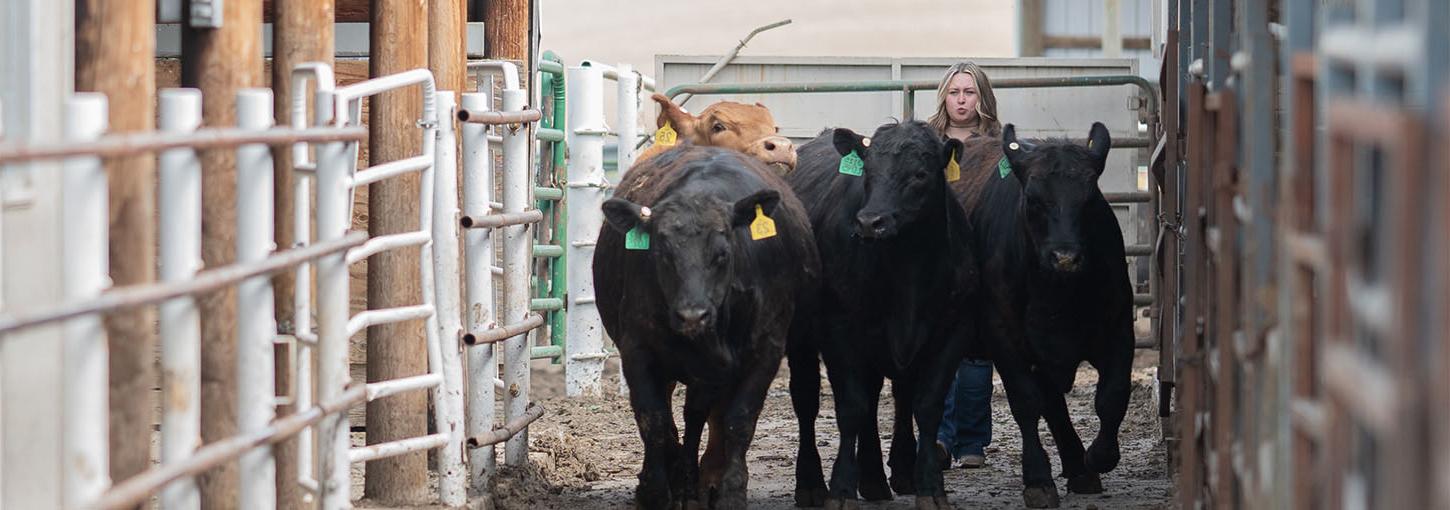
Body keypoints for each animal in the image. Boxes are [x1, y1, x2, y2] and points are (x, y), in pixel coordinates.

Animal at [588, 143, 817, 510]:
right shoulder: (637, 349)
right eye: (663, 253)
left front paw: (732, 492)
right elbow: (653, 418)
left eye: (722, 254)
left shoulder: (765, 350)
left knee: (701, 415)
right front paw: (654, 491)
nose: (692, 315)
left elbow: (739, 420)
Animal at [788, 122, 980, 510]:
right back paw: (812, 484)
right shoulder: (839, 328)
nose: (869, 222)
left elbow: (927, 405)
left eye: (920, 174)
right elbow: (851, 407)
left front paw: (930, 487)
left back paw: (882, 477)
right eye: (868, 173)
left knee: (886, 396)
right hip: (803, 340)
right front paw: (841, 490)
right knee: (807, 400)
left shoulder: (954, 330)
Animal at [957, 122, 1136, 507]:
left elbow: (1113, 394)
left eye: (1090, 199)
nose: (1065, 257)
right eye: (1033, 199)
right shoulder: (1004, 335)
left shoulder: (1118, 328)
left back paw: (1079, 467)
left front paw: (1098, 457)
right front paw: (1038, 479)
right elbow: (1026, 401)